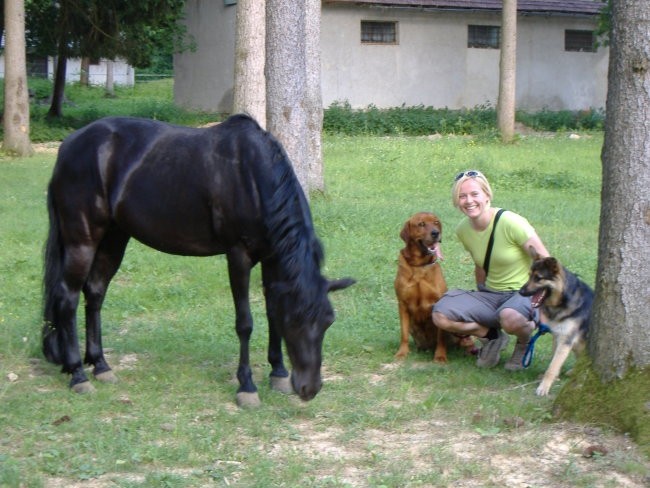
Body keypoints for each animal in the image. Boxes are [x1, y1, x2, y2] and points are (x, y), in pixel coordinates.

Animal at [41, 113, 354, 404]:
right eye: (296, 322)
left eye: (328, 321)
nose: (309, 388)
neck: (253, 176)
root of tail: (68, 145)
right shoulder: (238, 256)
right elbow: (245, 323)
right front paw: (247, 386)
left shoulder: (271, 258)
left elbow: (271, 311)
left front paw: (277, 372)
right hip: (82, 241)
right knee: (67, 298)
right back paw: (78, 374)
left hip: (114, 237)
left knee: (95, 293)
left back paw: (101, 365)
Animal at [516, 248, 592, 396]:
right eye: (529, 276)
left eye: (538, 278)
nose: (520, 292)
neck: (563, 299)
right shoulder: (557, 336)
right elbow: (554, 362)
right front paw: (554, 378)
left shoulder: (565, 340)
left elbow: (553, 366)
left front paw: (544, 387)